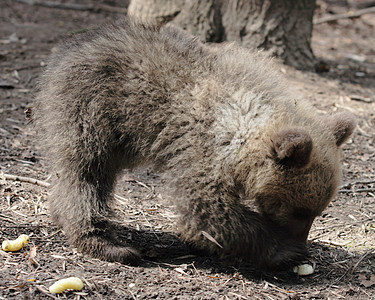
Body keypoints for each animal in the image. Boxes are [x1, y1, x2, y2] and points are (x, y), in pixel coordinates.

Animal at [33, 17, 356, 268]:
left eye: (317, 210)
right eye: (300, 210)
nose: (303, 239)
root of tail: (72, 44)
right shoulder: (201, 151)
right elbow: (209, 212)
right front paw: (284, 250)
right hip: (92, 110)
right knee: (85, 174)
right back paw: (106, 243)